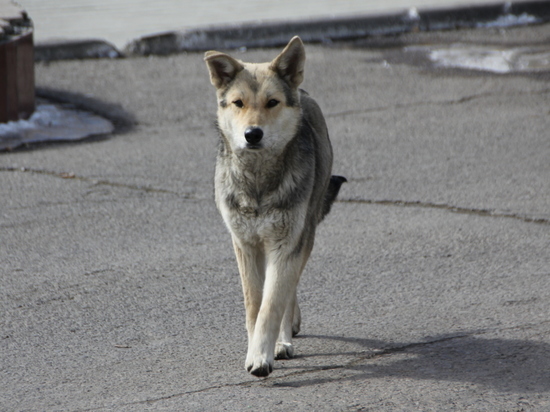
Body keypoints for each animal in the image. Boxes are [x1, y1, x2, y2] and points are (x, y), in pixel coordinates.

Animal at [205, 37, 348, 378]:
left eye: (272, 103)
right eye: (238, 103)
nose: (252, 134)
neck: (258, 181)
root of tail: (302, 90)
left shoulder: (285, 245)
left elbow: (272, 305)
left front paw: (261, 356)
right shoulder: (245, 245)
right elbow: (254, 306)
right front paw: (255, 348)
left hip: (304, 233)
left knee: (288, 288)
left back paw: (283, 340)